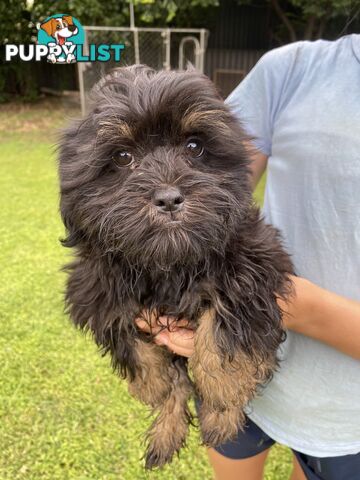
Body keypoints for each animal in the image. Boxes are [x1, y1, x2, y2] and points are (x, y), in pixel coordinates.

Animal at [57, 65, 292, 470]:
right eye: (122, 157)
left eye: (194, 147)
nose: (168, 198)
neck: (168, 260)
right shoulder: (95, 285)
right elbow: (127, 333)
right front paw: (152, 384)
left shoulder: (257, 259)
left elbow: (225, 322)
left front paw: (223, 392)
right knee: (180, 381)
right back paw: (167, 431)